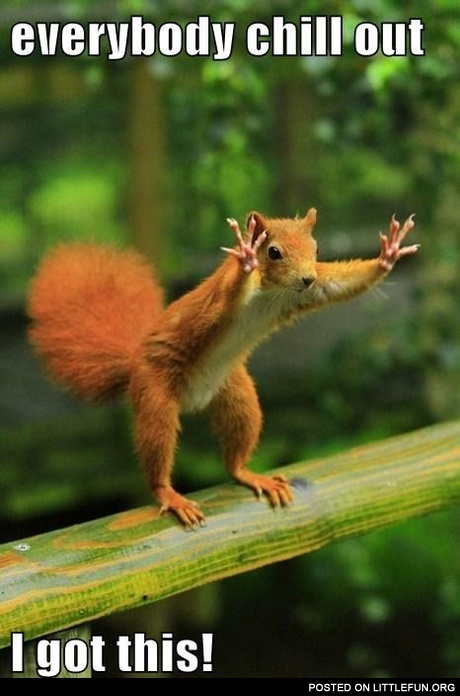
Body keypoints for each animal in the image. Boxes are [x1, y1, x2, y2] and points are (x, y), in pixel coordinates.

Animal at [28, 208, 418, 527]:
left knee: (235, 453)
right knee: (157, 448)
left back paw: (249, 474)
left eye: (317, 249)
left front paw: (388, 255)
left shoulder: (308, 292)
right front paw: (245, 256)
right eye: (273, 251)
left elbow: (339, 285)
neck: (271, 292)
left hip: (236, 395)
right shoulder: (219, 300)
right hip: (155, 395)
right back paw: (168, 494)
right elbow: (228, 296)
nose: (306, 277)